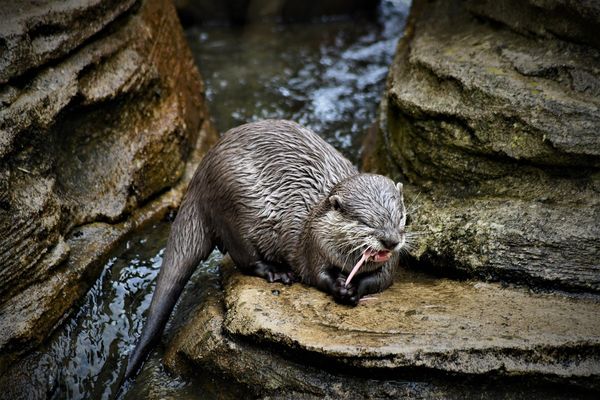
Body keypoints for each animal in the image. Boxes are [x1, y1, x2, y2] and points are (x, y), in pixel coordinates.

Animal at [125, 119, 408, 382]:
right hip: (233, 208)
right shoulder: (313, 245)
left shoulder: (390, 264)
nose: (391, 241)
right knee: (244, 259)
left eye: (399, 217)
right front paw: (339, 287)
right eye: (366, 222)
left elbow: (381, 280)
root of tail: (199, 178)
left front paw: (353, 289)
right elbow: (317, 275)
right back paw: (277, 272)